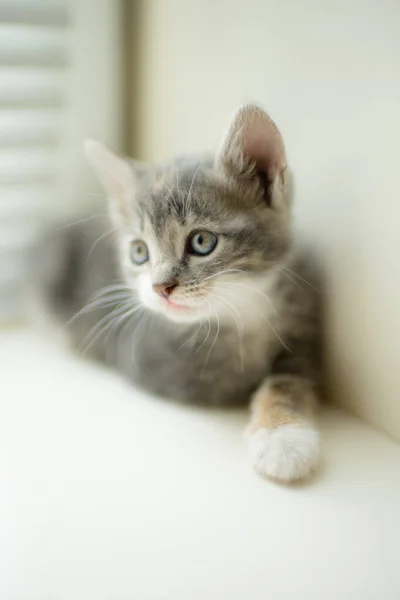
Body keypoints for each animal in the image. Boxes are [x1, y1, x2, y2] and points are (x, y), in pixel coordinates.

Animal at [32, 105, 324, 482]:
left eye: (202, 242)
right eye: (139, 252)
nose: (160, 287)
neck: (246, 312)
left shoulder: (304, 323)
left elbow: (291, 379)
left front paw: (282, 435)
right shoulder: (150, 361)